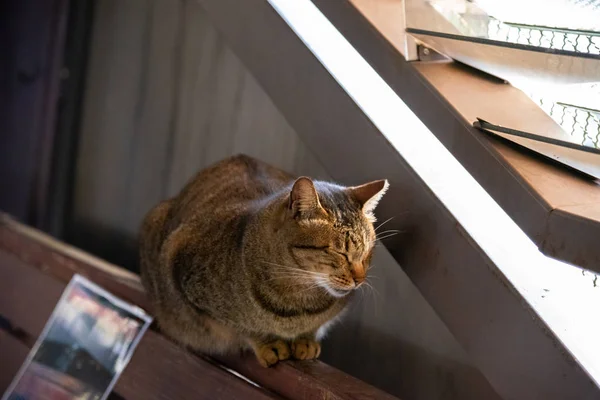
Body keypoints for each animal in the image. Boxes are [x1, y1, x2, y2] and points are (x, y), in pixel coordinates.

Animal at [138, 155, 386, 368]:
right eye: (339, 252)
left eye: (367, 252)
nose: (360, 279)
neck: (297, 302)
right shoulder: (187, 280)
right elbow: (240, 326)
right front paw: (268, 342)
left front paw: (306, 340)